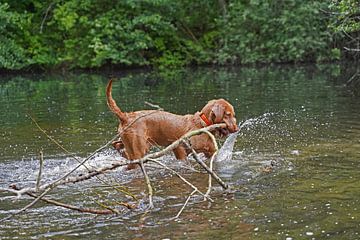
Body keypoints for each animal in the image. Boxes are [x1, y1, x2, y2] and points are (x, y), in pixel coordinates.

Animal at [105, 79, 238, 169]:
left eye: (233, 114)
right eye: (228, 114)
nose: (236, 129)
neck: (203, 124)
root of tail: (125, 116)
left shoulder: (210, 153)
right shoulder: (179, 146)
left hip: (133, 142)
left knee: (116, 145)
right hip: (140, 149)